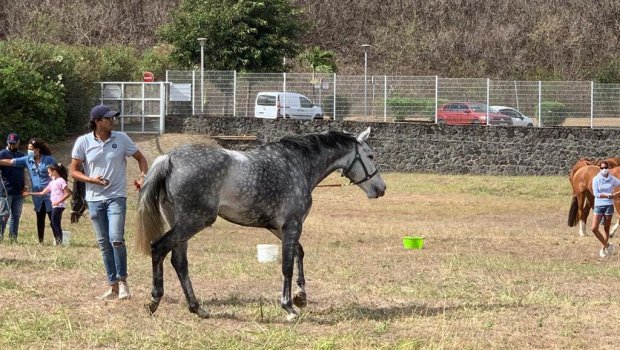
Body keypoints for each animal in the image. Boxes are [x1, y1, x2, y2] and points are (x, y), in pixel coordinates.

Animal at [136, 127, 386, 322]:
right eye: (371, 155)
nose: (381, 189)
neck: (299, 164)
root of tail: (170, 159)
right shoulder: (292, 225)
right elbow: (287, 265)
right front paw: (289, 307)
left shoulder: (279, 227)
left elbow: (299, 253)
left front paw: (301, 296)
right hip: (194, 221)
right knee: (158, 248)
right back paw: (154, 300)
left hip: (181, 223)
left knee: (179, 262)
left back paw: (197, 309)